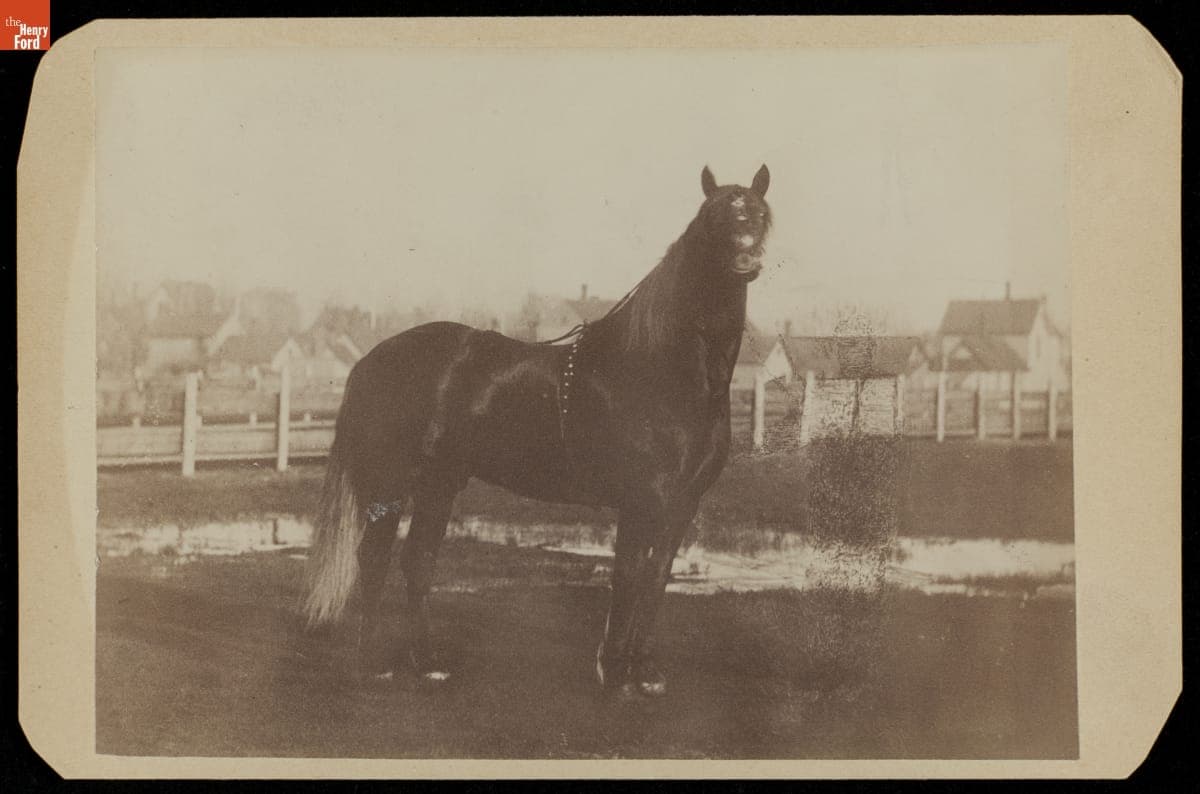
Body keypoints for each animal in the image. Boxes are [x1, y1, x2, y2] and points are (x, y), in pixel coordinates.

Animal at [304, 164, 773, 698]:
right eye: (714, 218)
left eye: (761, 215)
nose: (746, 257)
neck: (662, 372)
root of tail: (371, 360)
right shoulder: (639, 501)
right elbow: (629, 576)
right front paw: (614, 672)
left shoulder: (680, 505)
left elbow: (657, 578)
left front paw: (644, 671)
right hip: (391, 485)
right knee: (375, 561)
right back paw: (371, 664)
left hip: (439, 483)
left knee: (418, 563)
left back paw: (428, 663)